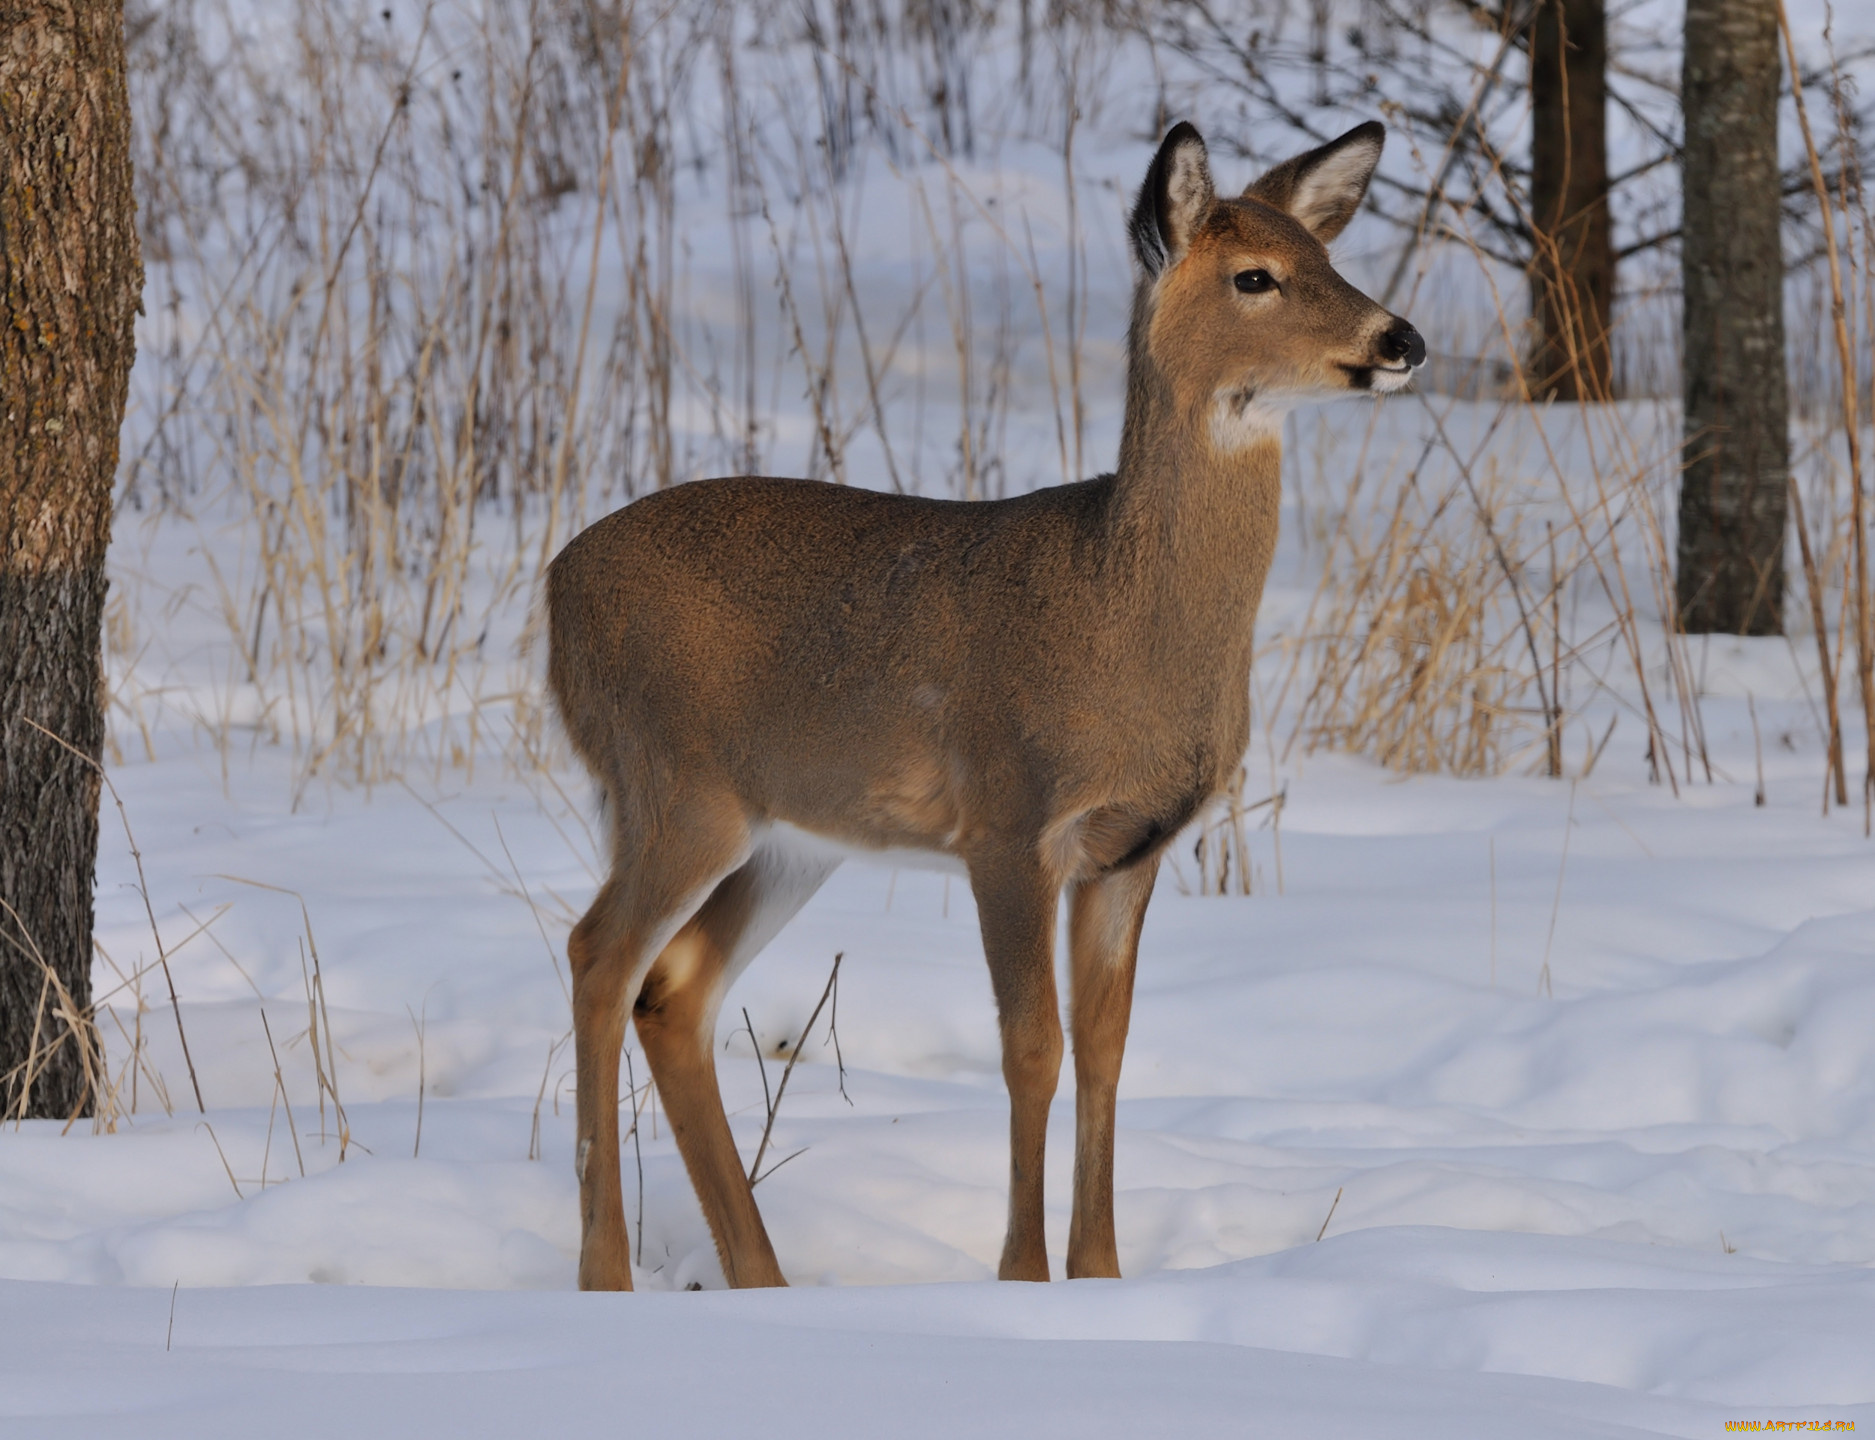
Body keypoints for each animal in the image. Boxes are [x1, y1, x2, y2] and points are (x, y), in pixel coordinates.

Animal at [543, 120, 1417, 1290]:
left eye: (1328, 256)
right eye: (1256, 276)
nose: (1401, 337)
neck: (1121, 617)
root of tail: (553, 588)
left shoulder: (1130, 848)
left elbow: (1107, 1048)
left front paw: (1100, 1276)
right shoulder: (1009, 819)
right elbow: (1032, 1047)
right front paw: (1021, 1278)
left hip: (789, 837)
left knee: (674, 988)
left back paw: (761, 1279)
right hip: (670, 782)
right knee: (599, 957)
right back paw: (606, 1273)